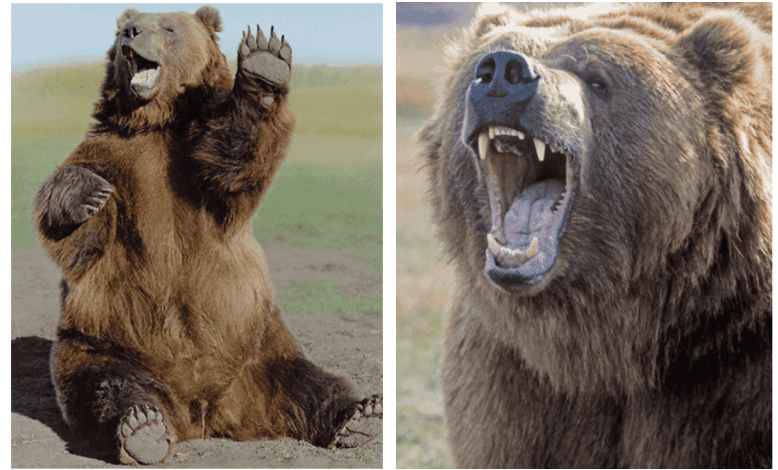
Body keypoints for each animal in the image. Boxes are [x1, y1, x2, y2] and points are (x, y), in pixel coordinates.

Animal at [32, 6, 381, 465]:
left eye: (168, 27)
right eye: (126, 28)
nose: (131, 31)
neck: (157, 122)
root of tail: (205, 412)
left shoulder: (196, 166)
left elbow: (235, 161)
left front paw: (264, 64)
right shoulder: (113, 157)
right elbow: (81, 235)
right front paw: (84, 193)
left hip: (259, 347)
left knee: (308, 382)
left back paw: (360, 416)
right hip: (101, 340)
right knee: (105, 386)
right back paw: (142, 428)